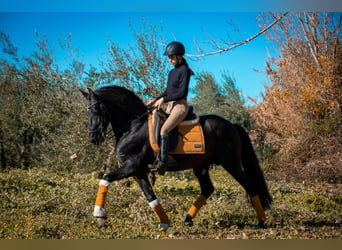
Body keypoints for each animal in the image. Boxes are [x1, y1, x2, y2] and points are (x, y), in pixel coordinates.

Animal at [80, 86, 272, 230]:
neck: (133, 126)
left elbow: (105, 178)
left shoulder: (132, 166)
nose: (94, 138)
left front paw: (99, 215)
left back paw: (261, 222)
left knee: (250, 186)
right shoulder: (138, 171)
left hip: (230, 163)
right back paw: (188, 219)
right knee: (207, 189)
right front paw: (165, 223)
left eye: (97, 109)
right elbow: (150, 196)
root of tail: (231, 125)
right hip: (201, 166)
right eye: (87, 112)